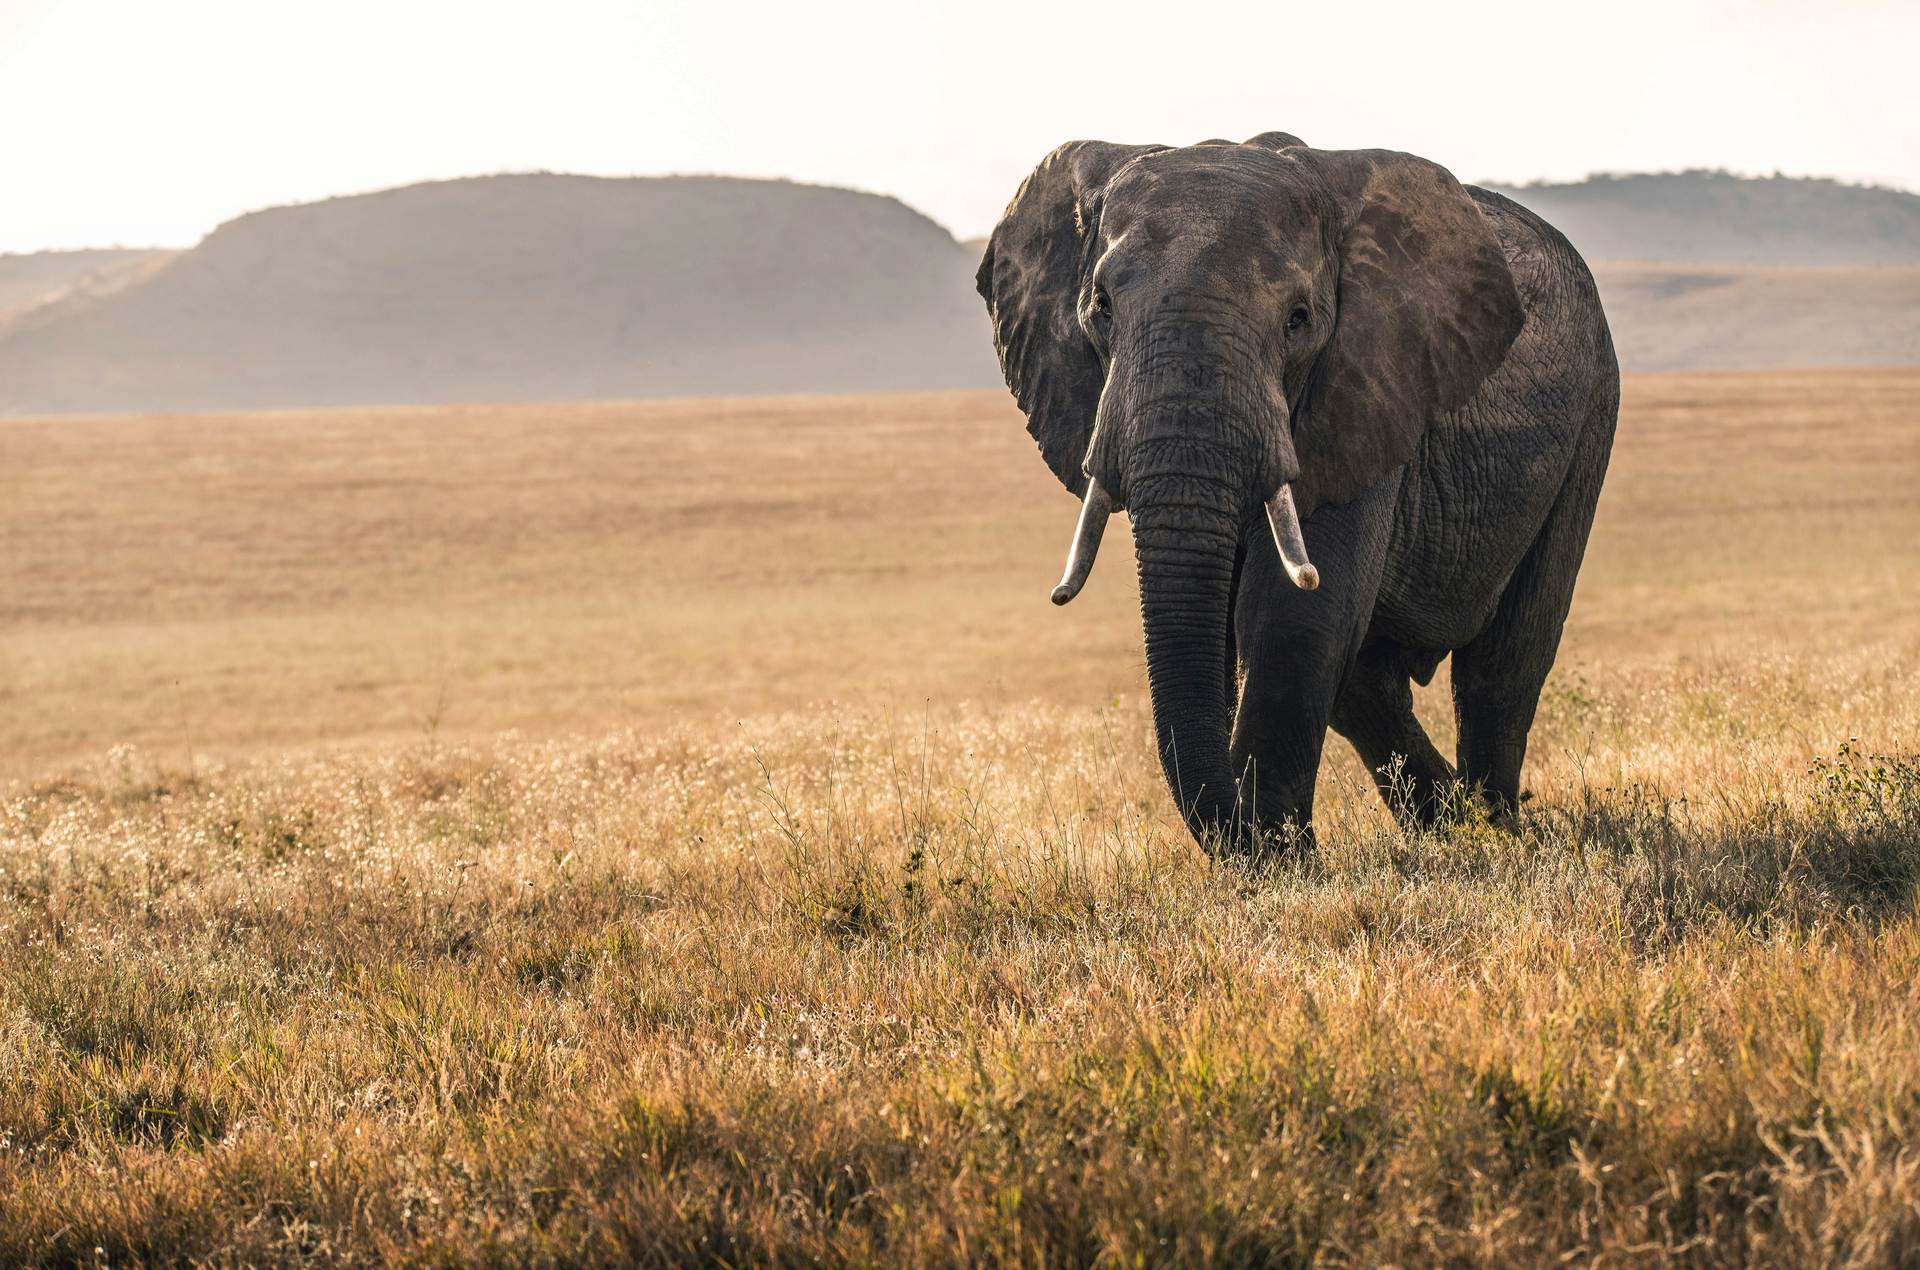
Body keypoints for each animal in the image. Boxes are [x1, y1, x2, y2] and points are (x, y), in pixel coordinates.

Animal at [975, 133, 1620, 853]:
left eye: (1298, 320)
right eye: (1101, 308)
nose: (1244, 832)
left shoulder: (1364, 386)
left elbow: (1293, 617)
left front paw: (1280, 861)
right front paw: (1272, 853)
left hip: (1594, 410)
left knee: (1502, 664)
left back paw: (1495, 831)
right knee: (1369, 684)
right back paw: (1449, 828)